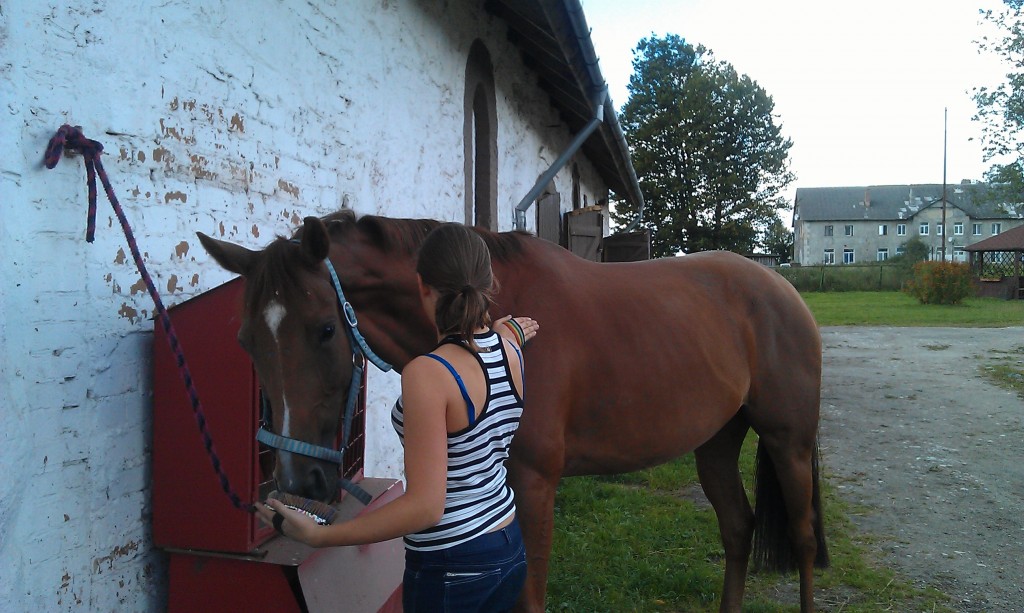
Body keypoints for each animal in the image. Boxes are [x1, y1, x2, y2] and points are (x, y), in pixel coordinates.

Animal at [195, 209, 827, 609]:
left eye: (326, 330)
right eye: (247, 341)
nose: (296, 479)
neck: (487, 315)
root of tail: (782, 288)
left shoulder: (534, 484)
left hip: (787, 442)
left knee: (799, 540)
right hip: (716, 441)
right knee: (738, 529)